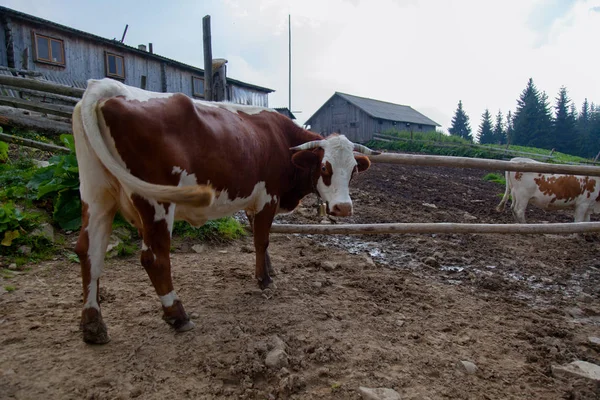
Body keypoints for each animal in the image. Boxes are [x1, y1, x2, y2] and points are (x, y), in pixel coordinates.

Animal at [72, 78, 378, 344]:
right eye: (325, 167)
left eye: (353, 170)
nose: (343, 208)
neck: (281, 140)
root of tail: (106, 86)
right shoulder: (268, 196)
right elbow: (261, 239)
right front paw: (264, 280)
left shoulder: (255, 202)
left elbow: (260, 240)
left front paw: (268, 269)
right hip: (155, 203)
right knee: (154, 257)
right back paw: (177, 314)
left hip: (96, 194)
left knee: (89, 251)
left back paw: (92, 324)